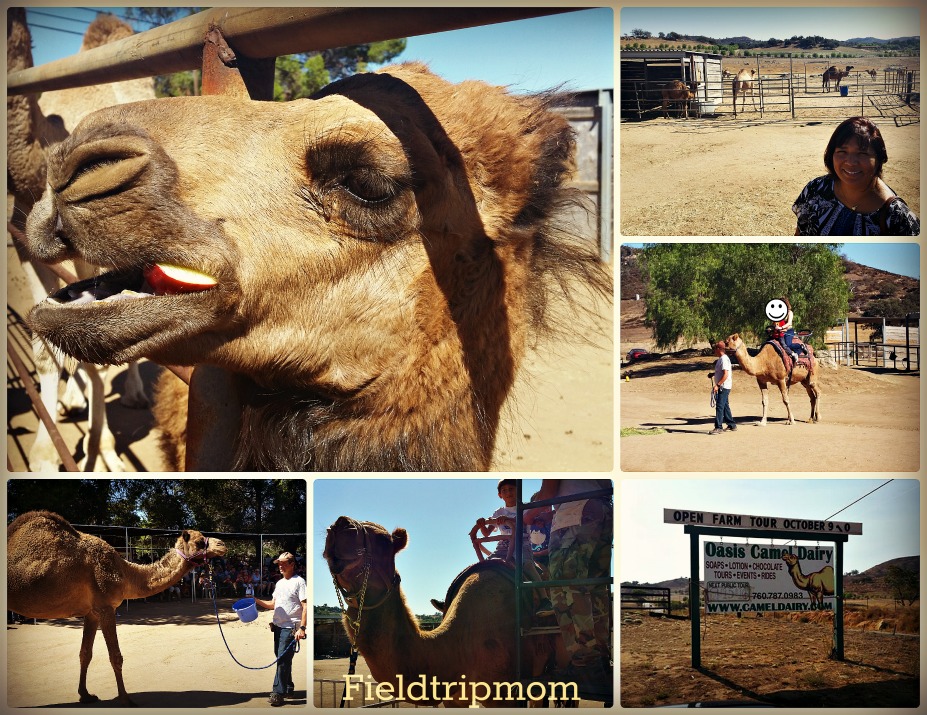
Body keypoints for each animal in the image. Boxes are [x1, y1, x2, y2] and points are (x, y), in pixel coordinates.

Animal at [7, 510, 226, 705]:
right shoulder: (106, 608)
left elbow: (85, 653)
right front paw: (126, 699)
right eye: (200, 542)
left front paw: (85, 695)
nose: (223, 545)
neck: (124, 571)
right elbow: (116, 656)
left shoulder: (92, 612)